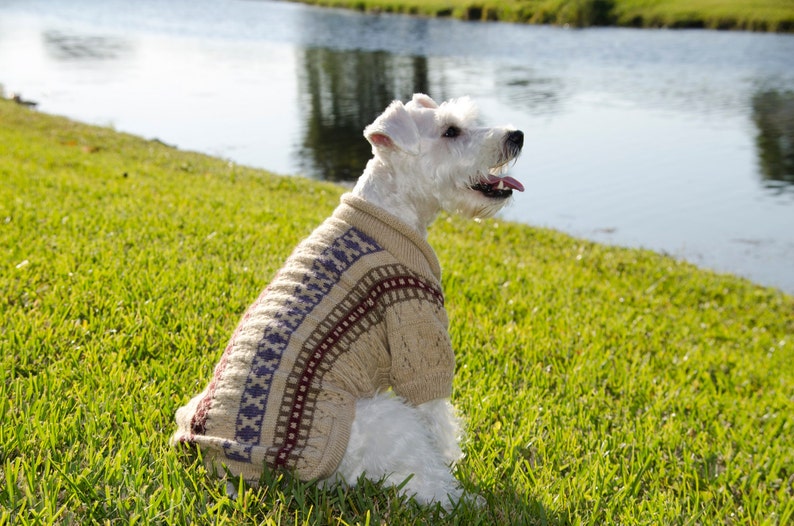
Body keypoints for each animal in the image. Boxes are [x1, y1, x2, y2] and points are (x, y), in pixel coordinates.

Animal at [170, 93, 524, 510]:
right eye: (450, 131)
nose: (517, 135)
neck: (389, 212)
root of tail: (232, 471)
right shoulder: (418, 334)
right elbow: (436, 416)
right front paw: (454, 459)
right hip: (382, 419)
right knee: (429, 483)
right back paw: (470, 500)